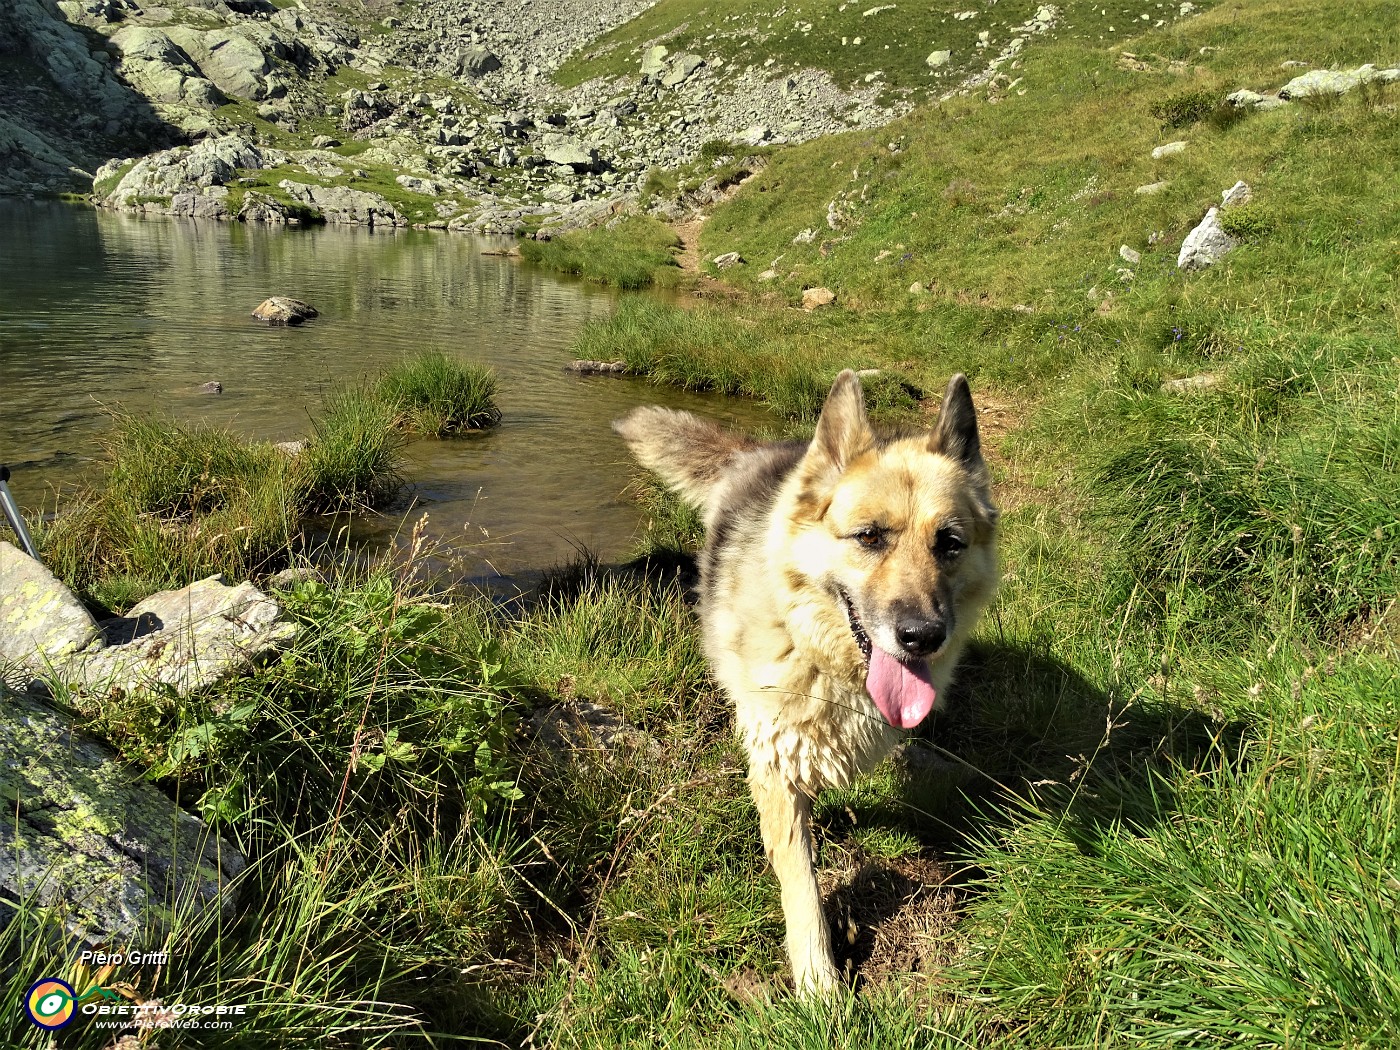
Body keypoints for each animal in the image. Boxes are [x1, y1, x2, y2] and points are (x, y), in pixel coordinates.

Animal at [613, 375, 996, 996]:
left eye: (950, 543)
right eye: (869, 537)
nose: (922, 637)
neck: (824, 659)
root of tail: (760, 452)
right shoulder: (777, 766)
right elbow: (803, 888)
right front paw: (820, 987)